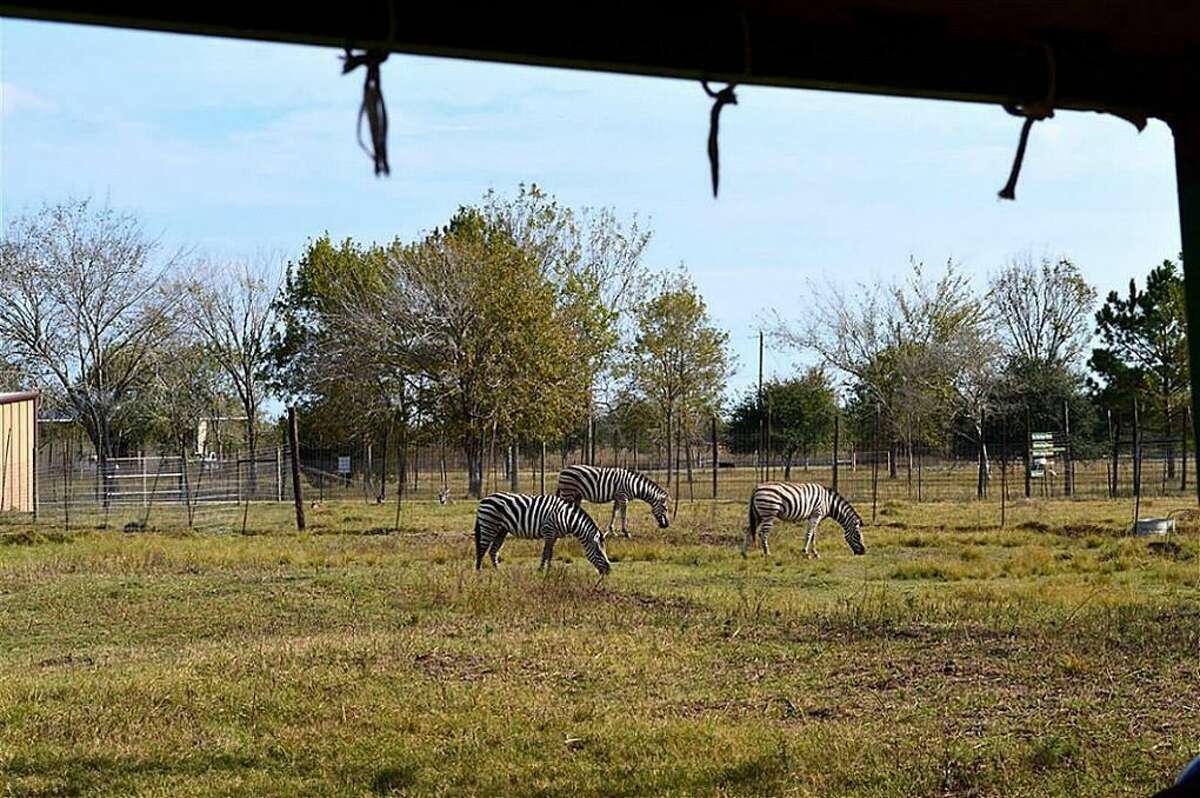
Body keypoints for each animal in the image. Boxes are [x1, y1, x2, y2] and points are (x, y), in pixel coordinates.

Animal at [472, 492, 614, 573]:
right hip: (489, 525)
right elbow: (546, 552)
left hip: (501, 530)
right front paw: (541, 570)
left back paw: (498, 571)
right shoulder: (548, 531)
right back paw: (479, 571)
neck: (565, 517)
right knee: (482, 549)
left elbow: (550, 553)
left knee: (493, 551)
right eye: (598, 552)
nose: (608, 570)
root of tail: (485, 499)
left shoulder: (554, 535)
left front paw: (549, 569)